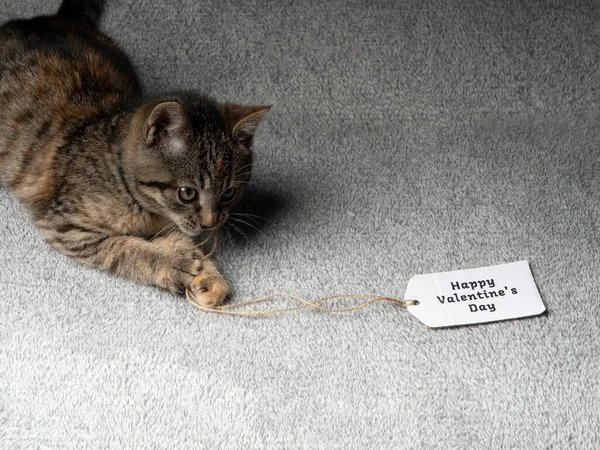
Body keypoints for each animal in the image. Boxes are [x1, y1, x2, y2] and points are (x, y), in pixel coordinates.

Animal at [0, 0, 270, 308]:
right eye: (187, 193)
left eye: (229, 193)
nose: (210, 223)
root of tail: (52, 19)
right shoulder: (66, 225)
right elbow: (124, 249)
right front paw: (170, 264)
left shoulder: (166, 225)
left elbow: (182, 242)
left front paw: (206, 277)